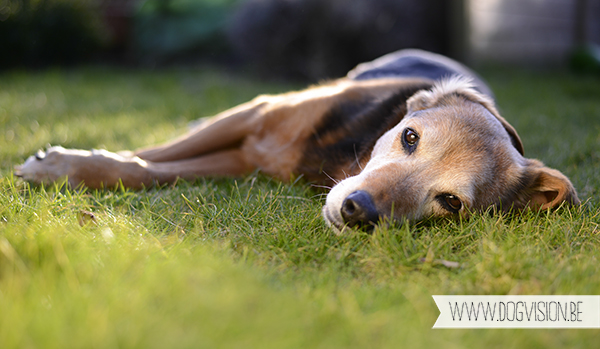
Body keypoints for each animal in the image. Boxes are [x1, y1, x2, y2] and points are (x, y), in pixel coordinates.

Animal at [16, 47, 580, 230]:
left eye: (451, 203)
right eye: (409, 136)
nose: (357, 212)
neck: (339, 158)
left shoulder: (245, 159)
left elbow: (145, 169)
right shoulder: (256, 115)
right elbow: (142, 157)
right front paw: (56, 164)